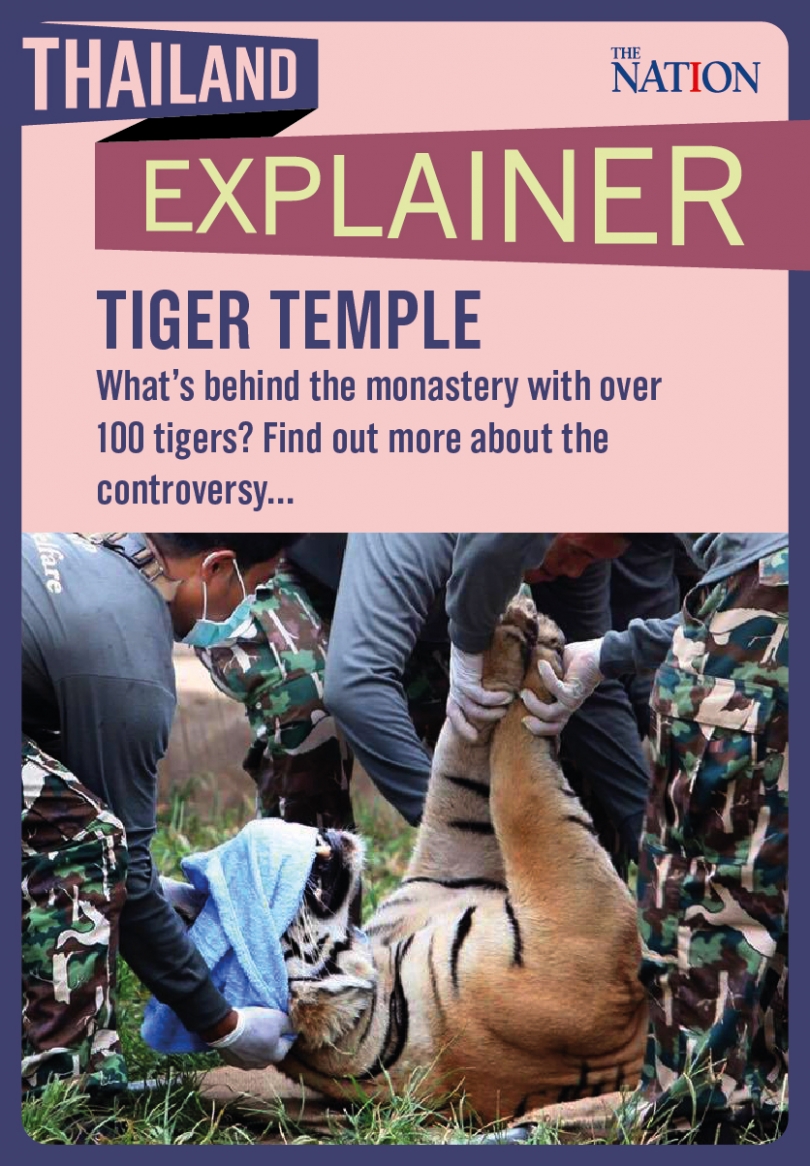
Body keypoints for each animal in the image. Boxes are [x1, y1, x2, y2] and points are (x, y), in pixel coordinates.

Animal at [276, 594, 649, 1124]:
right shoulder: (577, 937)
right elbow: (521, 788)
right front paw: (540, 662)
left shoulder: (448, 864)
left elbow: (461, 763)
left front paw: (515, 629)